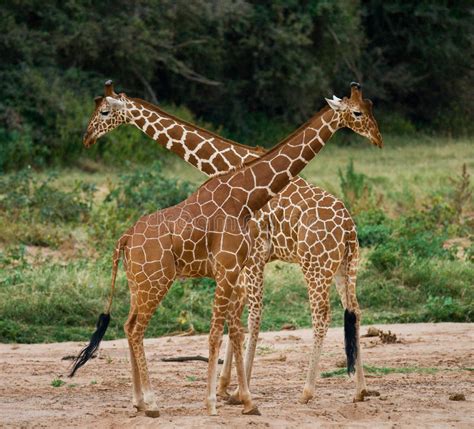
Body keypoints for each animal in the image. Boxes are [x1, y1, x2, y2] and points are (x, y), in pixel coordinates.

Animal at [72, 81, 384, 414]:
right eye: (359, 111)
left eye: (104, 111)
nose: (87, 138)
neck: (233, 172)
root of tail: (349, 227)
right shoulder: (244, 263)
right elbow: (238, 323)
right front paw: (228, 392)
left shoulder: (250, 259)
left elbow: (244, 322)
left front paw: (231, 392)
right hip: (338, 266)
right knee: (352, 311)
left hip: (320, 264)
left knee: (327, 314)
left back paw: (316, 391)